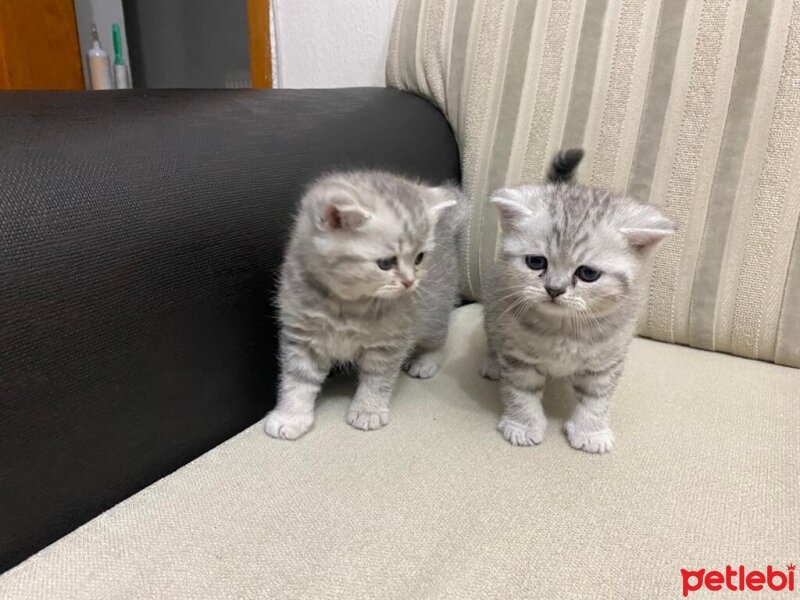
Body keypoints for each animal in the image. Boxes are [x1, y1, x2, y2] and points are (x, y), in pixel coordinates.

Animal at [264, 170, 460, 440]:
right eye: (386, 263)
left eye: (419, 258)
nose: (410, 282)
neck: (347, 305)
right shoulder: (303, 339)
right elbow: (297, 380)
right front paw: (291, 416)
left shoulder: (389, 343)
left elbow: (377, 379)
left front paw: (368, 410)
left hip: (434, 312)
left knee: (439, 338)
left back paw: (426, 361)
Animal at [482, 150, 676, 454]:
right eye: (536, 262)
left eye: (587, 274)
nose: (554, 289)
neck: (563, 329)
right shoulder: (518, 355)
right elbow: (521, 392)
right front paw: (523, 425)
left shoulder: (606, 362)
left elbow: (596, 399)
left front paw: (590, 431)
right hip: (493, 306)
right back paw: (492, 363)